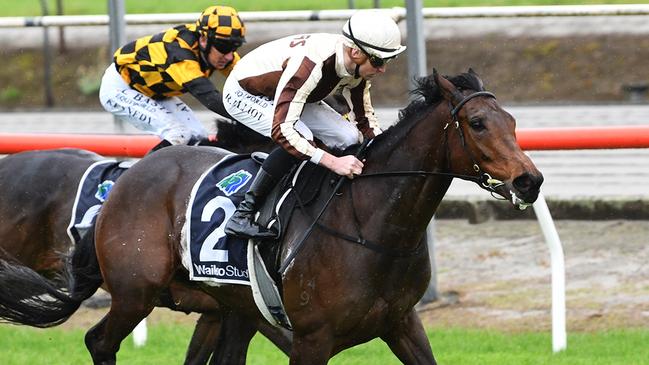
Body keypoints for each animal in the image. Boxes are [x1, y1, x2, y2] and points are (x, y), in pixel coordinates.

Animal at [0, 69, 540, 362]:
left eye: (513, 121)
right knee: (98, 341)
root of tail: (127, 182)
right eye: (477, 123)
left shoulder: (401, 323)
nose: (528, 181)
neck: (370, 224)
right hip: (136, 292)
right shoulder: (309, 337)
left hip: (225, 306)